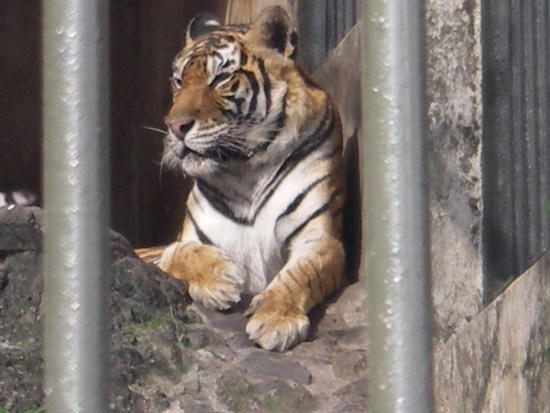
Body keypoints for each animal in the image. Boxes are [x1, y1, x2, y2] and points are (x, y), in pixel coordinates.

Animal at [138, 4, 344, 350]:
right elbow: (179, 252)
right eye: (179, 80)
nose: (175, 127)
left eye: (220, 78)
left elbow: (300, 275)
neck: (247, 170)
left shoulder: (320, 238)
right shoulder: (189, 239)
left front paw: (276, 320)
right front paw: (220, 280)